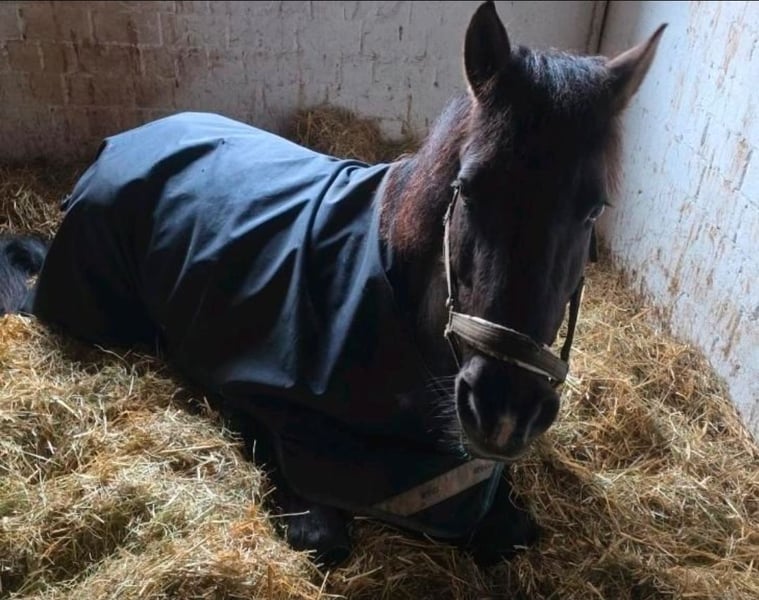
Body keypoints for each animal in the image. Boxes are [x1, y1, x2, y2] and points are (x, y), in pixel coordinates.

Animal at [0, 2, 664, 568]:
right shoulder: (257, 392)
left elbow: (511, 529)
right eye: (469, 189)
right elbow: (318, 530)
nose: (504, 412)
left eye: (593, 208)